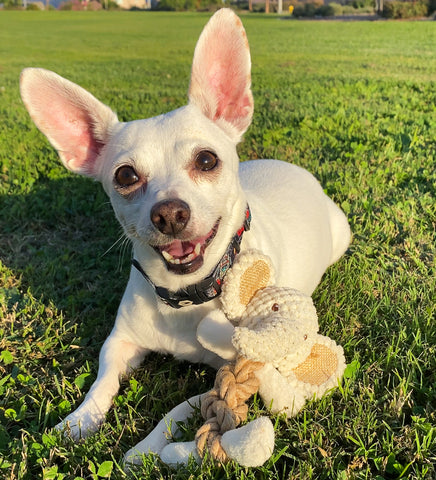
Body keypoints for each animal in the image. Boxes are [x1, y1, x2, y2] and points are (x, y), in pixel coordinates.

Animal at [20, 5, 350, 464]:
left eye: (207, 160)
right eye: (125, 176)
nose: (169, 213)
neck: (186, 294)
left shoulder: (222, 373)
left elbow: (179, 408)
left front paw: (142, 451)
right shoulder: (119, 342)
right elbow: (102, 380)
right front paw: (78, 422)